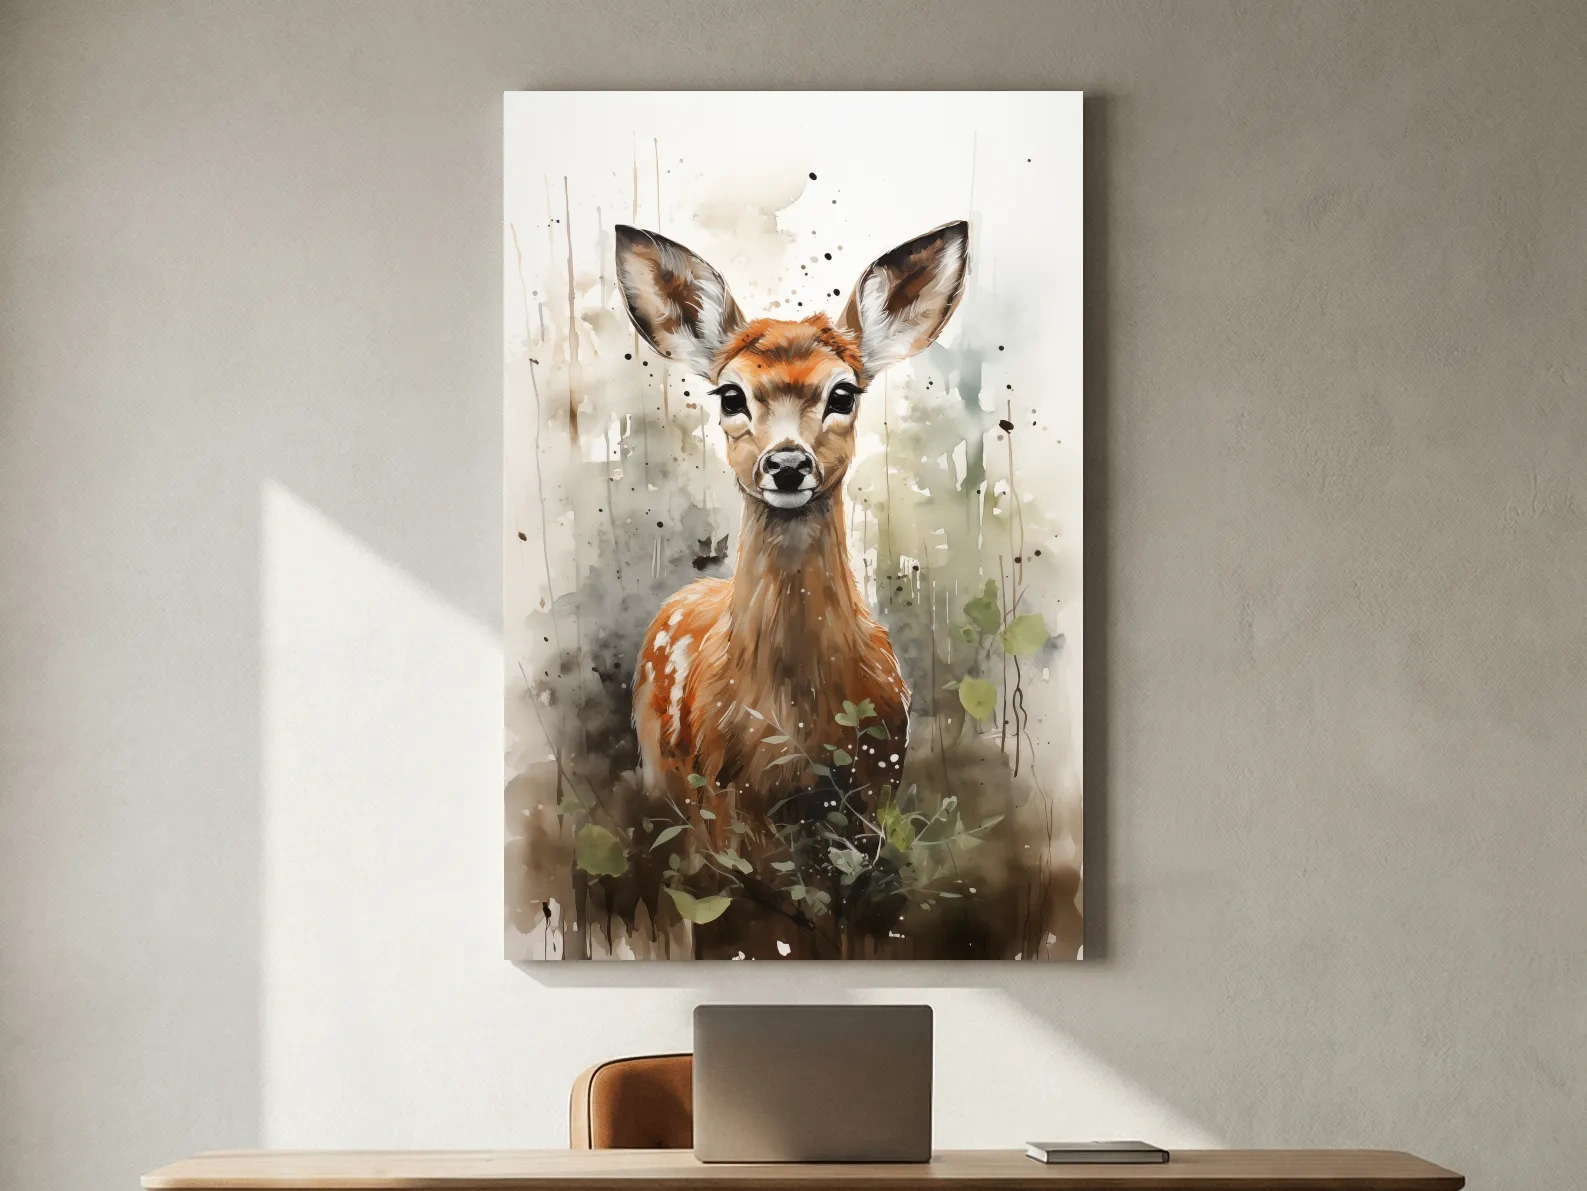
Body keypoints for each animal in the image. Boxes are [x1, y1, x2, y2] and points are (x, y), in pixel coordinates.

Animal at [614, 220, 970, 878]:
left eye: (844, 393)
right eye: (730, 395)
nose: (785, 464)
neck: (796, 726)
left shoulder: (876, 789)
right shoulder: (721, 801)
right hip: (660, 771)